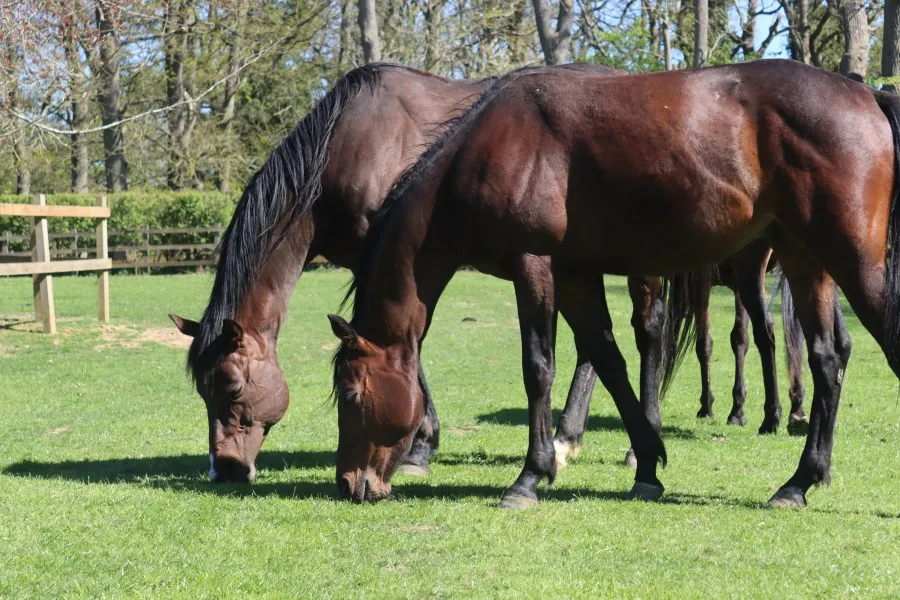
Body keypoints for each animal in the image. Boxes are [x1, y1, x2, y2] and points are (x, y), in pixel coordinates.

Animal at [330, 60, 900, 509]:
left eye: (351, 393)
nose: (349, 484)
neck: (493, 145)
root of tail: (866, 95)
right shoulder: (575, 272)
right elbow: (607, 359)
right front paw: (646, 466)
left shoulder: (534, 264)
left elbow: (539, 366)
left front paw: (530, 476)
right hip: (806, 261)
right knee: (828, 357)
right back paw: (799, 482)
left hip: (850, 262)